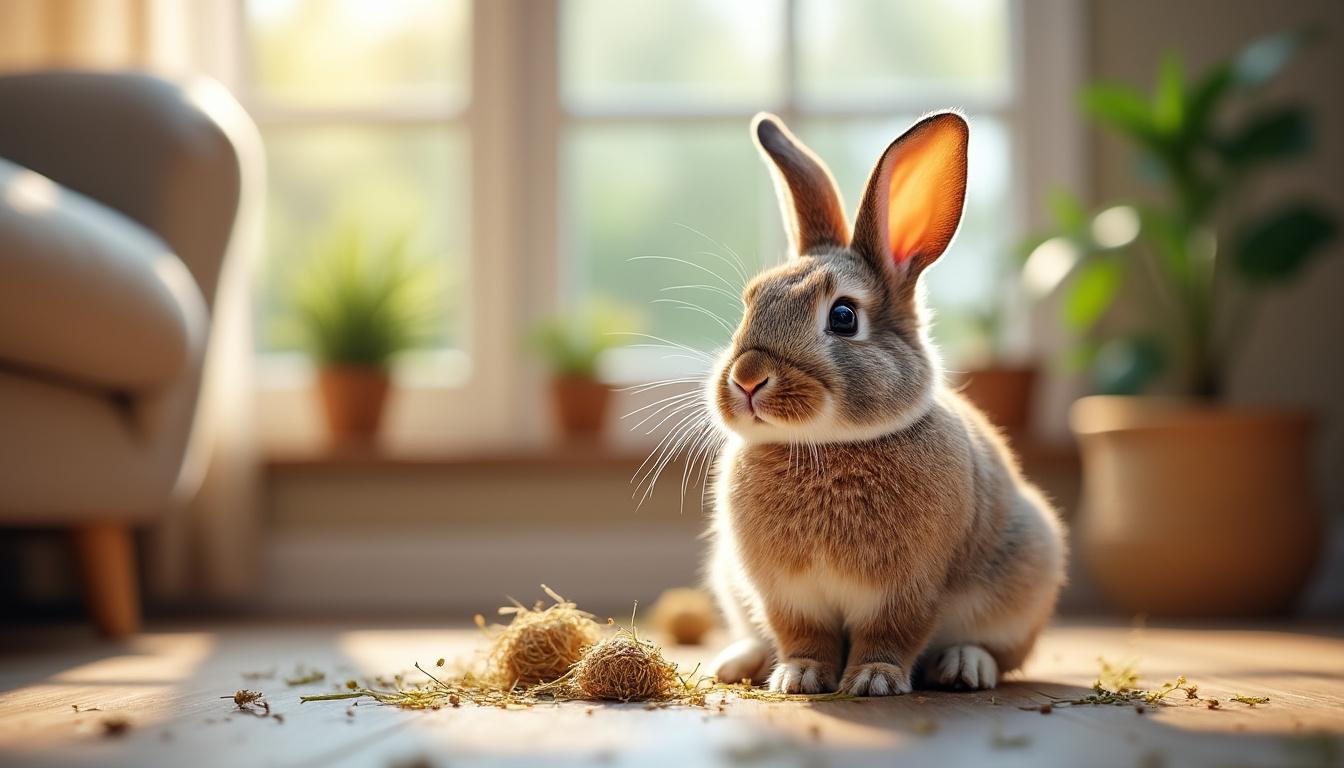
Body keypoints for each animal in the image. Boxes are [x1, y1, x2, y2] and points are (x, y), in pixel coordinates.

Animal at [704, 112, 1067, 696]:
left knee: (1000, 652)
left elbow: (891, 634)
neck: (825, 446)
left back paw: (964, 667)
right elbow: (803, 635)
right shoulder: (787, 596)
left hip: (1030, 566)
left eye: (844, 317)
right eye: (751, 301)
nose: (747, 378)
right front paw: (799, 677)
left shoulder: (907, 590)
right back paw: (739, 662)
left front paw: (873, 680)